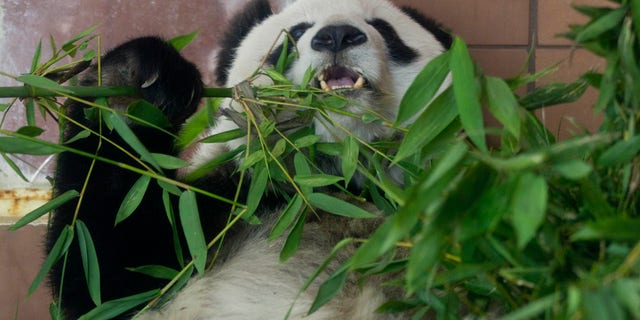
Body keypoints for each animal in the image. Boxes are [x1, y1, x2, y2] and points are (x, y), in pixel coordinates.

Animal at [46, 0, 450, 318]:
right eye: (295, 33)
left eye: (384, 29)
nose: (337, 35)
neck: (329, 182)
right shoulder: (223, 207)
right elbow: (105, 270)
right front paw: (132, 86)